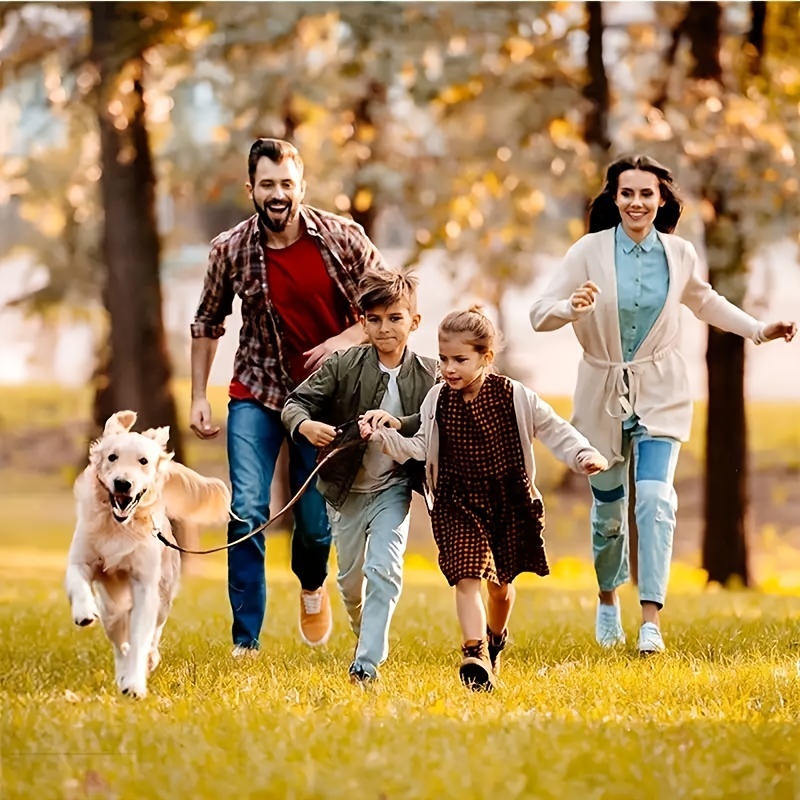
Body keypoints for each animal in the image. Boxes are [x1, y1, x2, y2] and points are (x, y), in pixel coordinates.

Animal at [66, 410, 231, 696]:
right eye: (112, 457)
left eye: (143, 461)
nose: (123, 483)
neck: (120, 526)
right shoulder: (81, 558)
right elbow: (78, 581)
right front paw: (83, 611)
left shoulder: (145, 586)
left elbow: (141, 638)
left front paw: (134, 682)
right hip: (111, 609)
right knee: (119, 640)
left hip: (163, 596)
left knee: (152, 633)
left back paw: (147, 662)